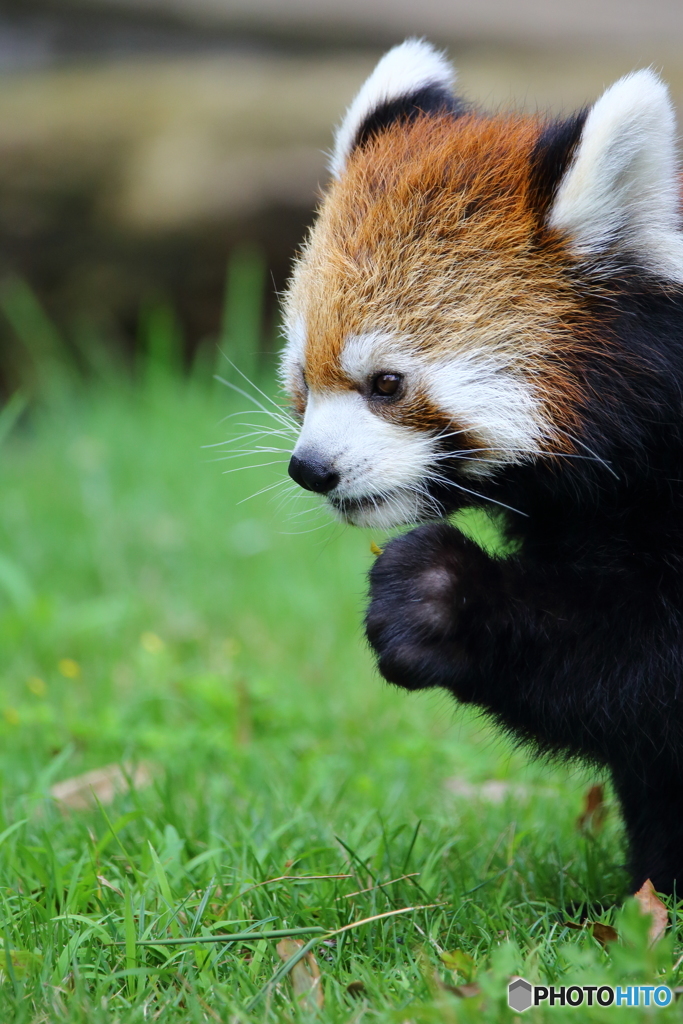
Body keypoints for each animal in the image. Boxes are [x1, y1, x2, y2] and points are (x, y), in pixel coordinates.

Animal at [280, 37, 683, 888]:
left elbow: (644, 661)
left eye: (387, 384)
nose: (311, 468)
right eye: (303, 377)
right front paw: (655, 882)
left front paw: (436, 594)